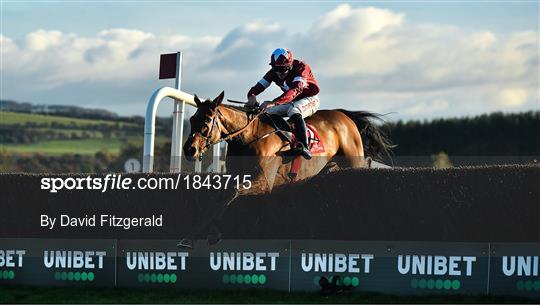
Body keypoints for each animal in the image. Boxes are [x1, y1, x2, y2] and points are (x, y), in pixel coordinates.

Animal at [179, 90, 394, 246]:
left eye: (207, 120)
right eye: (192, 120)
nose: (189, 149)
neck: (249, 137)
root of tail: (344, 115)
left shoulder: (264, 182)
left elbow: (231, 193)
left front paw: (193, 237)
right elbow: (220, 197)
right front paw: (209, 233)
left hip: (352, 161)